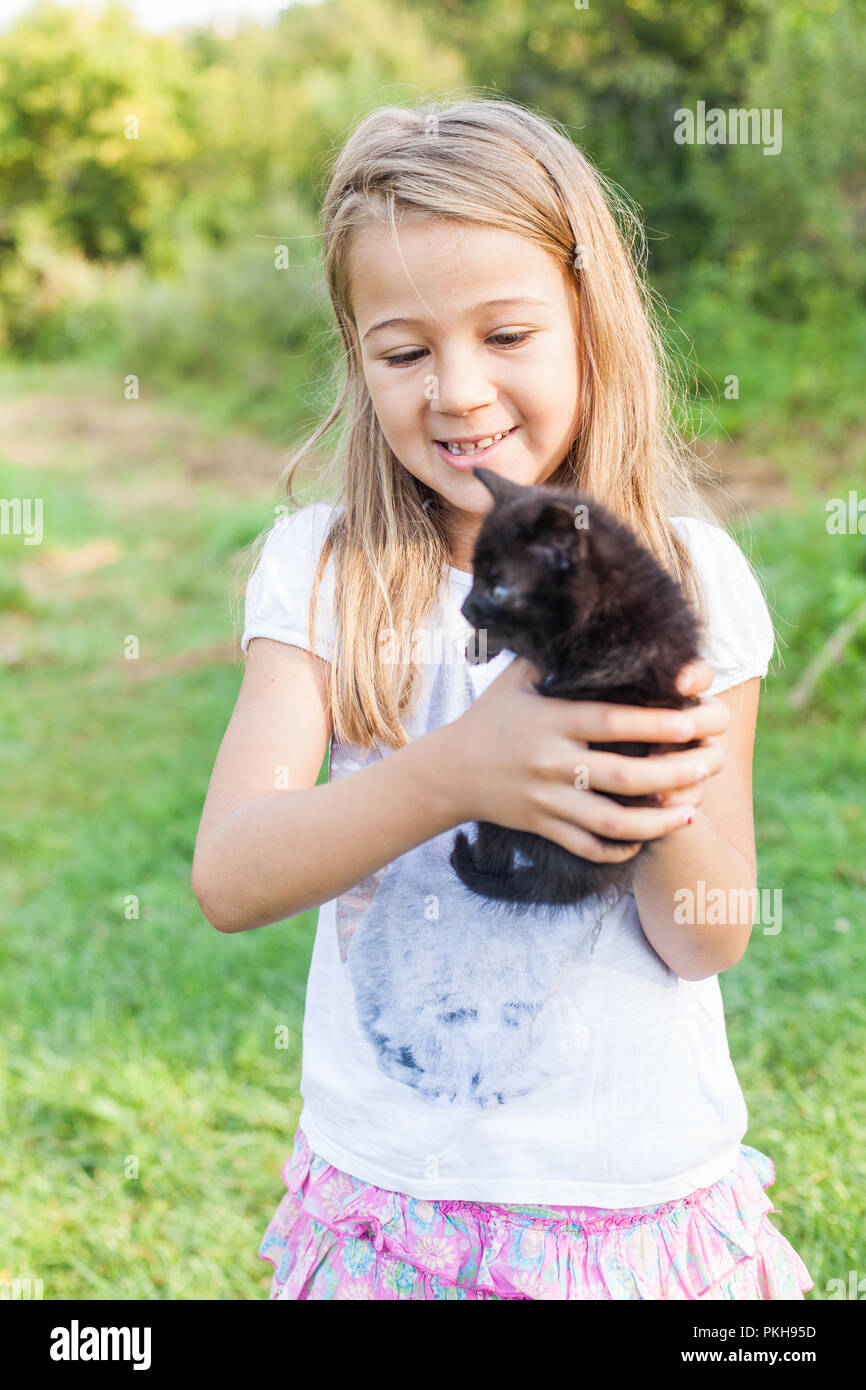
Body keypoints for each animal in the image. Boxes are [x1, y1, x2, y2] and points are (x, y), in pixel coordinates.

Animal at [450, 469, 708, 911]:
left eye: (499, 589)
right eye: (475, 576)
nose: (466, 608)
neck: (607, 595)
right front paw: (481, 643)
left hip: (500, 807)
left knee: (495, 853)